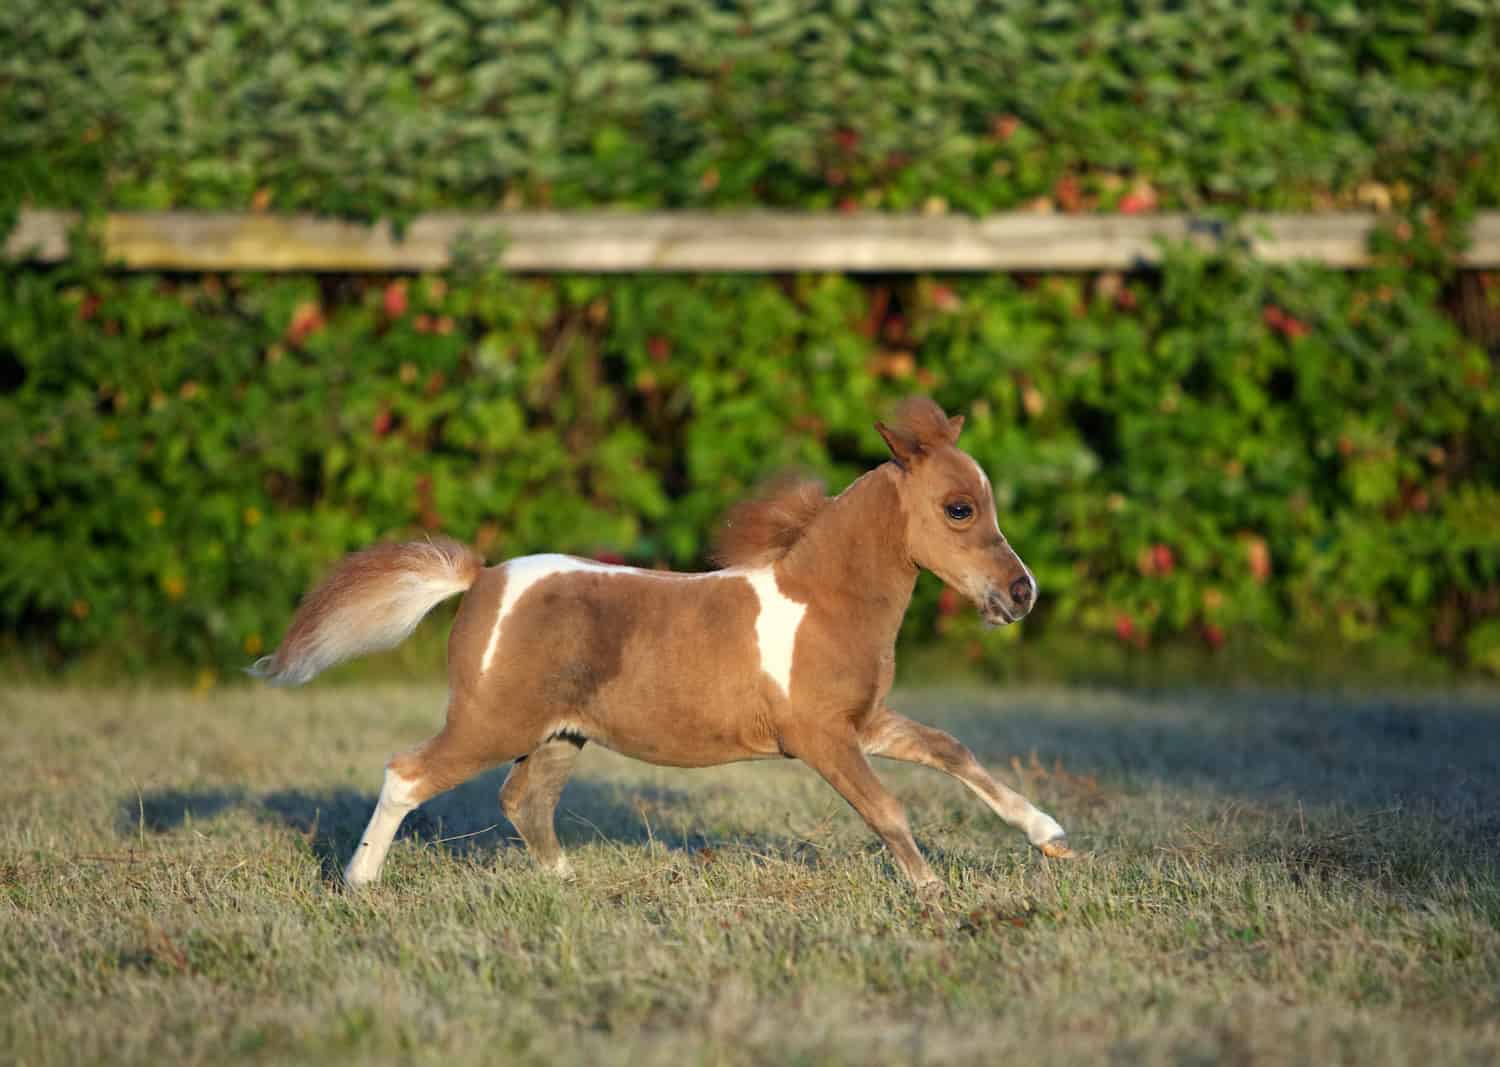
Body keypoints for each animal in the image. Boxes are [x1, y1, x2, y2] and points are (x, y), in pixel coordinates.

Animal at [250, 396, 1076, 895]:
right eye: (959, 508)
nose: (1022, 593)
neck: (823, 601)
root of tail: (483, 578)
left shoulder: (864, 722)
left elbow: (952, 750)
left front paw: (1052, 837)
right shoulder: (819, 737)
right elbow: (887, 807)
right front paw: (930, 888)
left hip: (560, 734)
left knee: (523, 798)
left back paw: (569, 883)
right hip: (490, 723)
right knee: (408, 773)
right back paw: (359, 881)